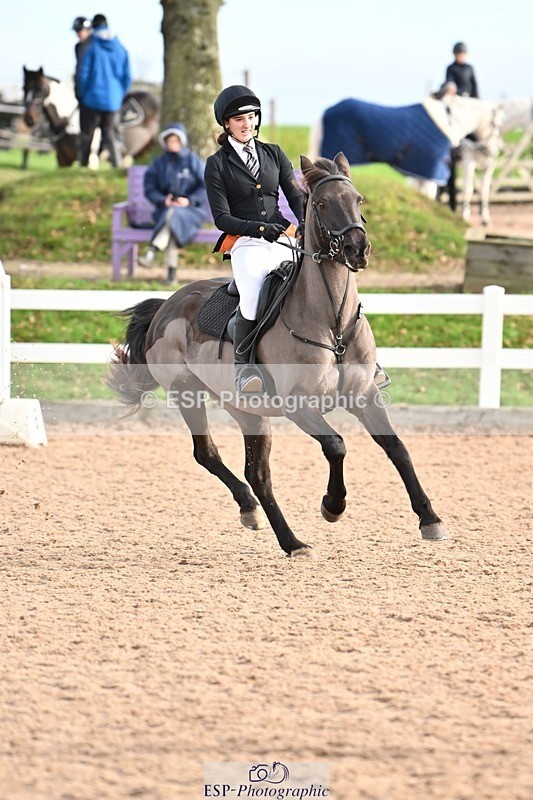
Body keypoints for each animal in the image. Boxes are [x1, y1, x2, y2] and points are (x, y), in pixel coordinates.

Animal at [22, 66, 159, 168]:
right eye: (24, 89)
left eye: (40, 90)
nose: (29, 119)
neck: (68, 121)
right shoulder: (63, 160)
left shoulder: (91, 161)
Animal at [107, 153, 449, 557]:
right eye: (321, 204)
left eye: (359, 199)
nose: (358, 250)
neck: (332, 324)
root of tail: (166, 305)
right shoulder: (298, 404)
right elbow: (336, 445)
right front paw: (333, 505)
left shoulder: (365, 396)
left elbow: (397, 448)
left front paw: (430, 519)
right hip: (185, 391)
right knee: (209, 455)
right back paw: (285, 535)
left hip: (246, 410)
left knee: (257, 474)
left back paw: (272, 526)